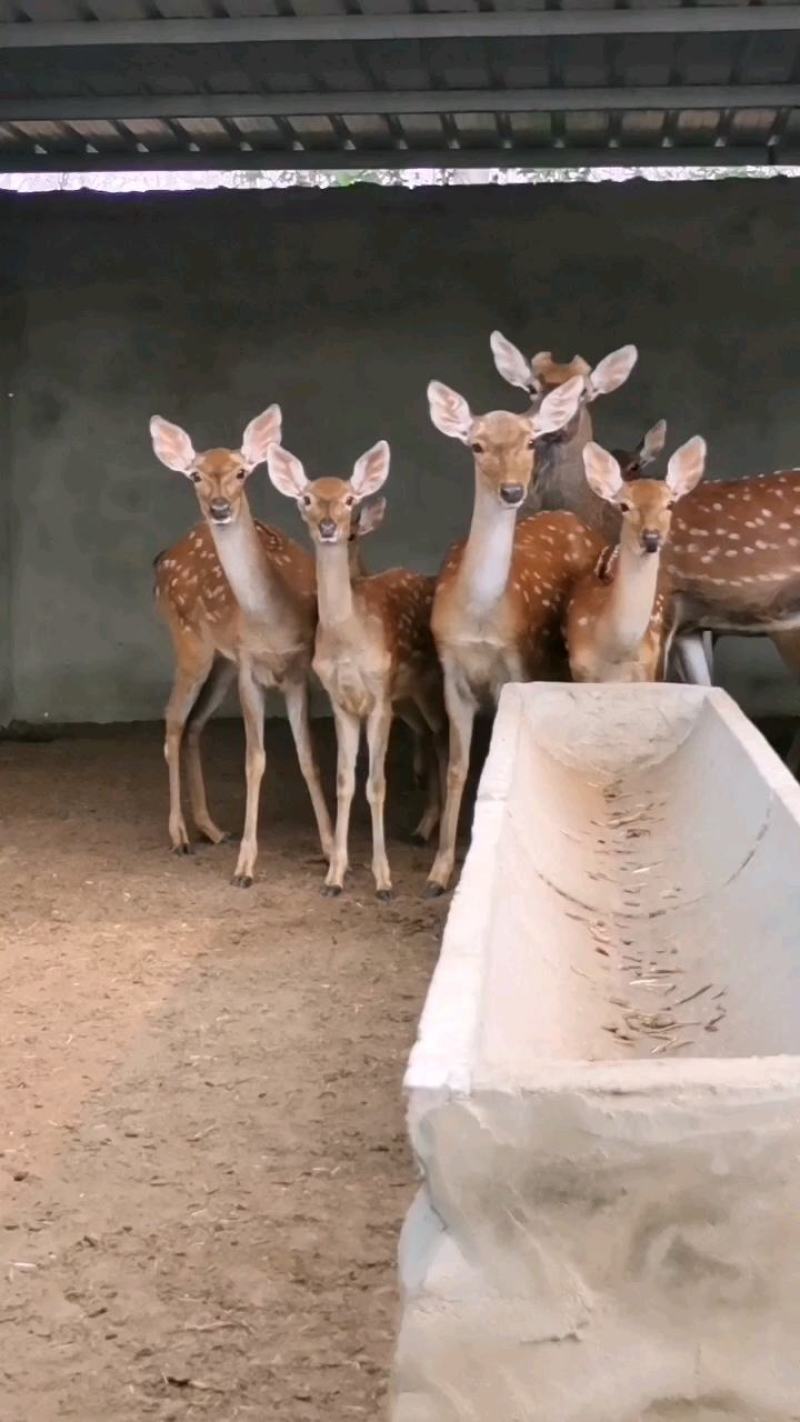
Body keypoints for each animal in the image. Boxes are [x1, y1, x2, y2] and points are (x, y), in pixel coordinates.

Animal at [149, 405, 333, 887]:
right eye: (195, 474)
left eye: (241, 471)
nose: (219, 508)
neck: (272, 623)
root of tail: (163, 558)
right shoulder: (251, 669)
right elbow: (255, 759)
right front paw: (246, 867)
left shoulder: (297, 672)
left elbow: (309, 757)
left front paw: (330, 849)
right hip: (189, 644)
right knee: (173, 720)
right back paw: (179, 835)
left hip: (221, 662)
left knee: (195, 723)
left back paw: (212, 828)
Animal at [266, 439, 447, 900]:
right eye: (307, 498)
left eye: (349, 499)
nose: (329, 526)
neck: (349, 640)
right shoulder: (341, 701)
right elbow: (345, 781)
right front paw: (335, 875)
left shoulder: (379, 698)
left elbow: (376, 785)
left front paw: (384, 880)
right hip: (408, 699)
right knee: (428, 736)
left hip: (428, 686)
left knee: (443, 737)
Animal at [425, 378, 607, 895]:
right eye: (477, 445)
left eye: (529, 441)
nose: (511, 490)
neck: (480, 619)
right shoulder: (451, 673)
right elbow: (458, 768)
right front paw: (438, 871)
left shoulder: (519, 665)